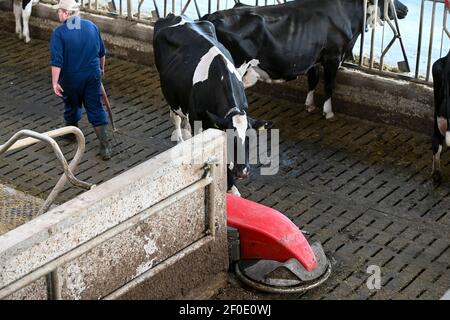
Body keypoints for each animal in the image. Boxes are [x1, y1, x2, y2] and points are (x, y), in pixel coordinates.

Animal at [154, 14, 270, 195]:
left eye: (250, 137)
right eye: (230, 137)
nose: (242, 171)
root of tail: (175, 16)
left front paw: (232, 188)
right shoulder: (198, 121)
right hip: (171, 96)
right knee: (176, 118)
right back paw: (180, 141)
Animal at [203, 0, 408, 120]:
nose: (405, 8)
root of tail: (212, 17)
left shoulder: (312, 56)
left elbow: (313, 80)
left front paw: (309, 105)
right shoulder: (333, 56)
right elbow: (329, 85)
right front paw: (328, 112)